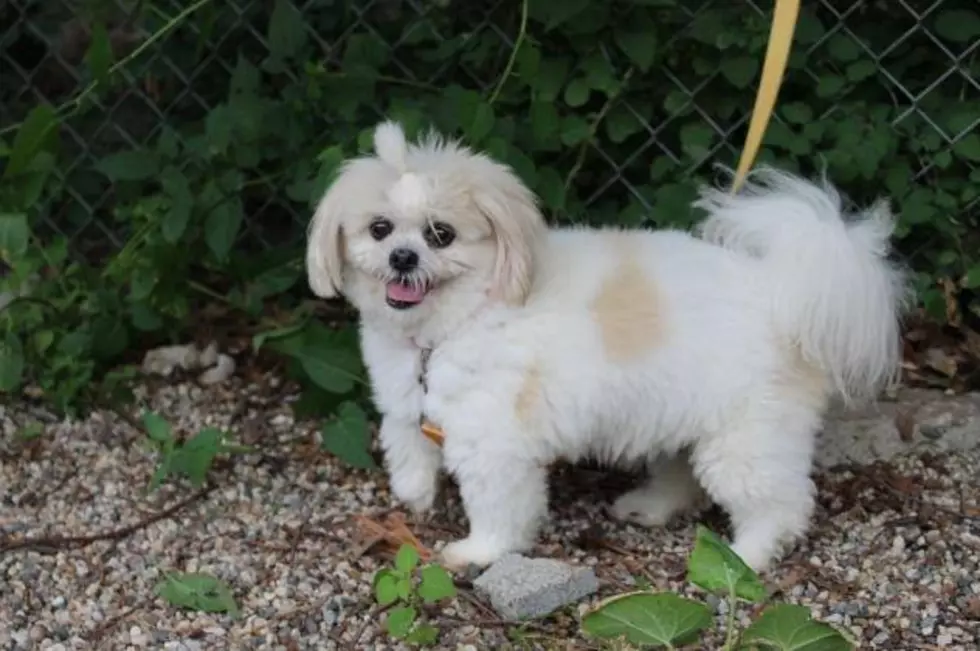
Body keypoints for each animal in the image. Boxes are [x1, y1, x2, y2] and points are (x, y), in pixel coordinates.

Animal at [306, 119, 912, 572]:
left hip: (746, 438)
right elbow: (407, 447)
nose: (403, 257)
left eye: (441, 235)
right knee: (683, 475)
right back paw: (649, 507)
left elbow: (498, 508)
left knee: (779, 506)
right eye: (380, 228)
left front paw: (478, 552)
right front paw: (415, 495)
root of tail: (782, 287)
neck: (454, 322)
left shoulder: (494, 443)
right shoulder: (410, 402)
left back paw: (745, 558)